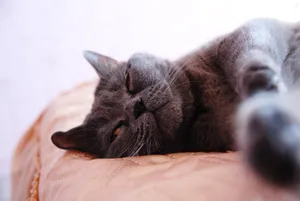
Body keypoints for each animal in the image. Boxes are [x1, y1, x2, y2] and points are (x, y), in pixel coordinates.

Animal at [51, 18, 300, 188]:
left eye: (128, 80)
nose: (136, 106)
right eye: (116, 132)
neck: (204, 101)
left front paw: (263, 83)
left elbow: (246, 54)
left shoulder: (246, 34)